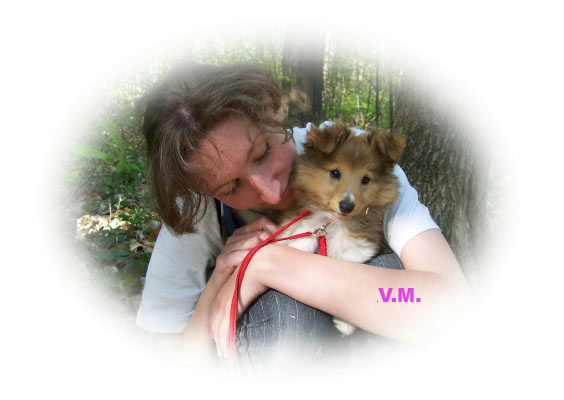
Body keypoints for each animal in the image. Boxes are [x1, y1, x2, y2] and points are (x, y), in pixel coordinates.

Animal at [275, 122, 405, 336]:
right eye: (335, 173)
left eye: (365, 179)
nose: (346, 206)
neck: (335, 222)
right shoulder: (302, 223)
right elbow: (304, 235)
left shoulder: (359, 246)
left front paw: (345, 323)